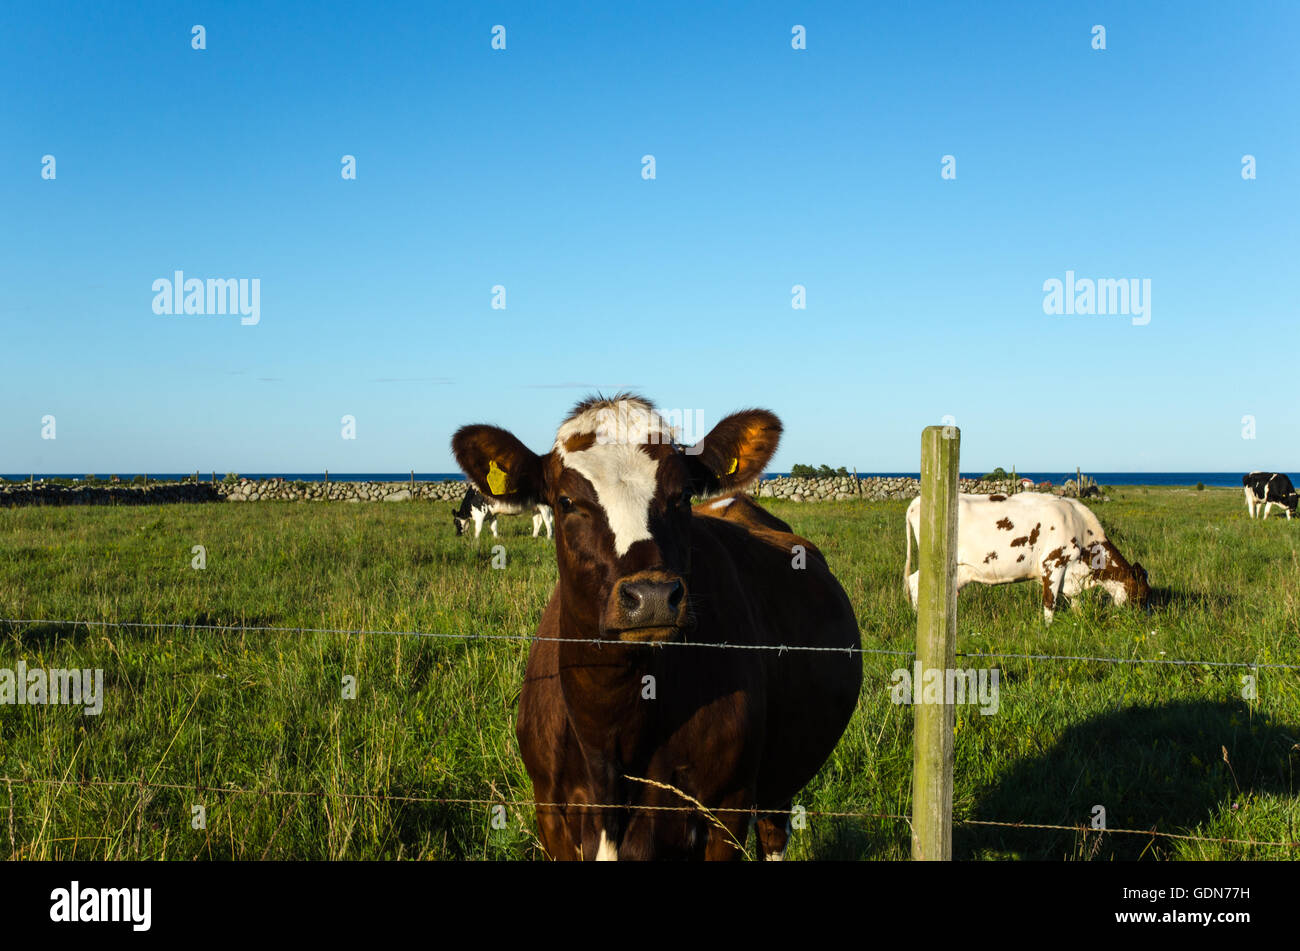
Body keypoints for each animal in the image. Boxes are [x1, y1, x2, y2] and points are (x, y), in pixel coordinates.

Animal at [451, 394, 861, 860]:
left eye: (682, 495)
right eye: (567, 501)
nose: (650, 596)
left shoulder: (729, 809)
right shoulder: (550, 814)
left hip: (780, 779)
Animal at [904, 492, 1149, 624]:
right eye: (1141, 595)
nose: (1141, 621)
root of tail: (917, 501)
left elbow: (1076, 603)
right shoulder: (1053, 563)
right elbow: (1050, 603)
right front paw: (1048, 630)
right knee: (915, 581)